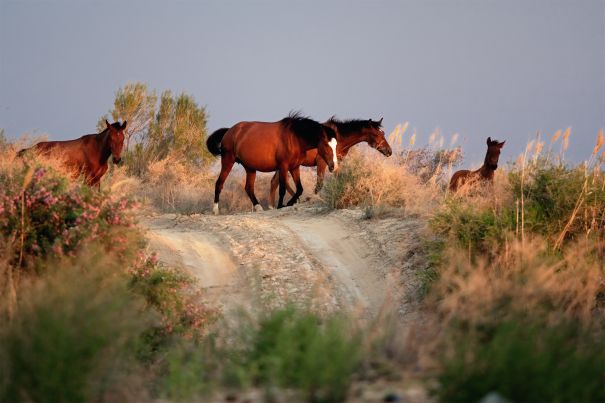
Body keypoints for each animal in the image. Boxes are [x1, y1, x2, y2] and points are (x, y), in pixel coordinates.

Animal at [205, 113, 338, 215]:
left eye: (336, 145)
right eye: (326, 144)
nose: (334, 166)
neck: (294, 138)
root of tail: (230, 131)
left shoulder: (294, 167)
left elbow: (299, 189)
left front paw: (289, 203)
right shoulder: (283, 166)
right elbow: (282, 189)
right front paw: (281, 205)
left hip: (250, 168)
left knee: (249, 188)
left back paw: (258, 208)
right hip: (228, 160)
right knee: (219, 184)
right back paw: (215, 210)